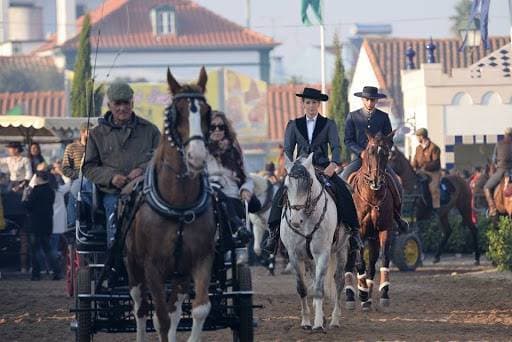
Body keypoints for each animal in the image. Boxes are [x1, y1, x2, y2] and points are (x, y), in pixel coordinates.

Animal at [124, 67, 216, 342]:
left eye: (207, 113)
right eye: (178, 113)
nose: (196, 156)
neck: (179, 206)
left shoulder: (201, 259)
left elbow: (199, 309)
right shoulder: (152, 266)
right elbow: (160, 319)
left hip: (179, 273)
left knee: (174, 310)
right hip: (133, 266)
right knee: (140, 307)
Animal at [348, 131, 396, 308]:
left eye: (386, 153)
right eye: (370, 152)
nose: (376, 180)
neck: (372, 197)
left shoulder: (385, 229)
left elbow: (384, 258)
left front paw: (384, 293)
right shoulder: (358, 232)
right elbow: (359, 262)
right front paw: (361, 294)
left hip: (372, 237)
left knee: (371, 264)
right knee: (350, 263)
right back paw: (352, 295)